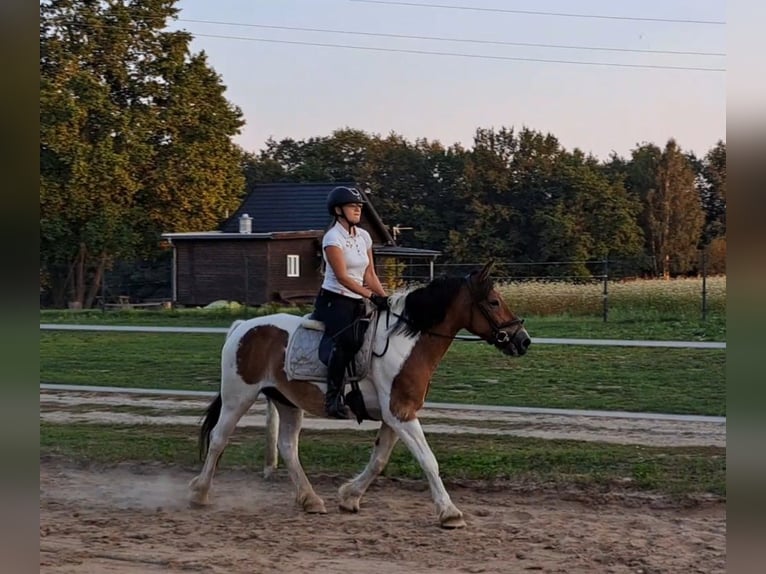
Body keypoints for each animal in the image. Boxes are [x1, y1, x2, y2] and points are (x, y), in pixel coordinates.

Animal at [189, 260, 532, 532]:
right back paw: (199, 493)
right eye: (493, 302)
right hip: (238, 397)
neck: (406, 343)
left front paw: (349, 497)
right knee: (219, 439)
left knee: (287, 447)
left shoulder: (395, 415)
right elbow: (428, 460)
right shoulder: (401, 413)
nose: (523, 341)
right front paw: (450, 513)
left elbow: (379, 459)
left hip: (287, 402)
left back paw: (310, 500)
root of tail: (243, 326)